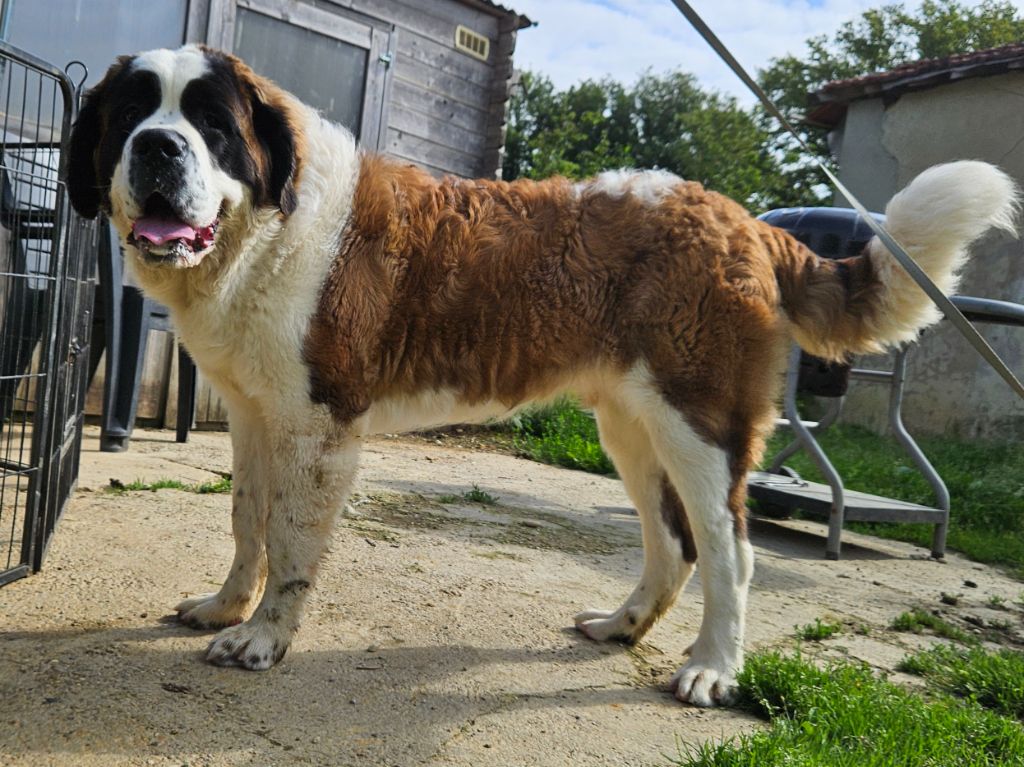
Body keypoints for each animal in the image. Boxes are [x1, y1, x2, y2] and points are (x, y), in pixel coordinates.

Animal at [68, 43, 1019, 704]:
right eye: (132, 113)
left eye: (212, 125)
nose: (159, 148)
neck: (265, 224)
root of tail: (743, 220)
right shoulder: (257, 413)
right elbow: (246, 521)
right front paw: (227, 606)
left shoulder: (317, 427)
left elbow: (293, 541)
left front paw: (264, 639)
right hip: (629, 426)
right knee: (673, 541)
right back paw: (621, 625)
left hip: (699, 424)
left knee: (729, 548)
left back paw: (712, 667)